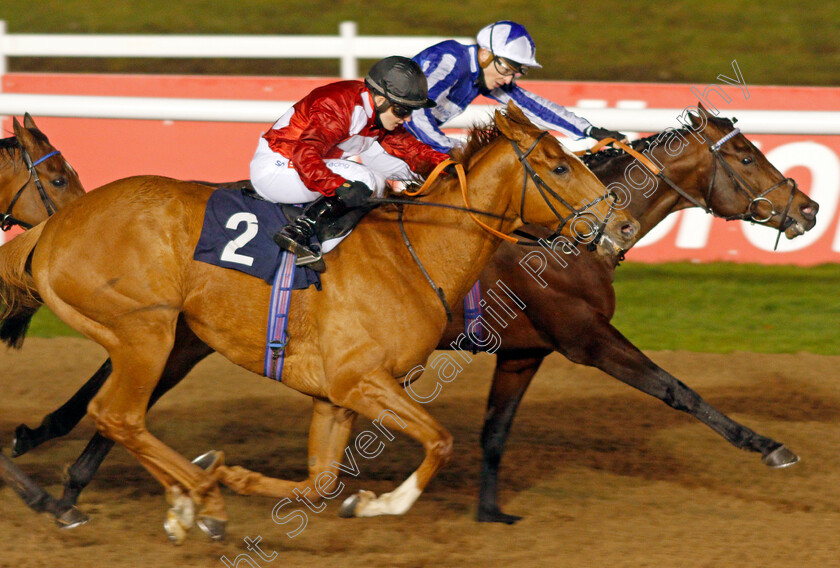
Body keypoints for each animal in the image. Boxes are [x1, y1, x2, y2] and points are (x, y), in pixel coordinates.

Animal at [3, 105, 816, 528]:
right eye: (747, 155)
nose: (807, 207)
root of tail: (59, 227)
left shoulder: (525, 350)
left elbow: (492, 433)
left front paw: (490, 512)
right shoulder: (584, 336)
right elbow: (678, 389)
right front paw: (769, 445)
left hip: (176, 336)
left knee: (113, 408)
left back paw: (83, 481)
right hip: (160, 333)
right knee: (113, 406)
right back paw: (86, 484)